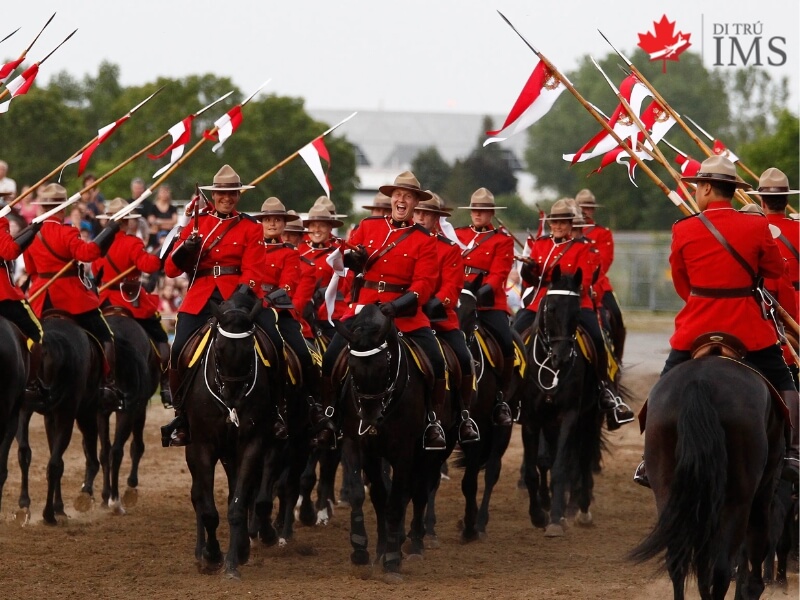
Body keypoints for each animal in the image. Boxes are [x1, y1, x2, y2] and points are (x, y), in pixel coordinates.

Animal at [99, 312, 160, 512]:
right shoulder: (134, 409)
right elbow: (132, 447)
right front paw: (124, 489)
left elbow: (108, 451)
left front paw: (108, 495)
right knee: (116, 450)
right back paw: (115, 500)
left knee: (112, 450)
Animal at [182, 298, 278, 580]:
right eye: (219, 349)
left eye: (249, 351)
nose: (232, 398)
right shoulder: (201, 447)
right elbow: (207, 509)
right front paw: (213, 555)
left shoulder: (252, 444)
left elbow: (238, 504)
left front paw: (234, 561)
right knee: (197, 495)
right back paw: (201, 551)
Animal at [332, 304, 446, 576]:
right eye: (351, 366)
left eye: (384, 366)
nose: (370, 419)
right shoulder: (359, 445)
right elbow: (370, 495)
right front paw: (368, 549)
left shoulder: (404, 450)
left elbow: (395, 501)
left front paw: (392, 559)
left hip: (427, 453)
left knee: (418, 491)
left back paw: (414, 544)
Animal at [520, 268, 608, 536]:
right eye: (550, 309)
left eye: (577, 312)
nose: (562, 357)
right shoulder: (531, 418)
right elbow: (534, 468)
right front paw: (538, 514)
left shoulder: (569, 415)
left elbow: (561, 467)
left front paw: (556, 519)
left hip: (590, 418)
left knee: (583, 458)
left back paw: (582, 508)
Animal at [636, 356, 784, 600]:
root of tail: (700, 383)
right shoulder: (764, 490)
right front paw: (750, 589)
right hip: (739, 499)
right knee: (722, 566)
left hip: (668, 492)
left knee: (679, 561)